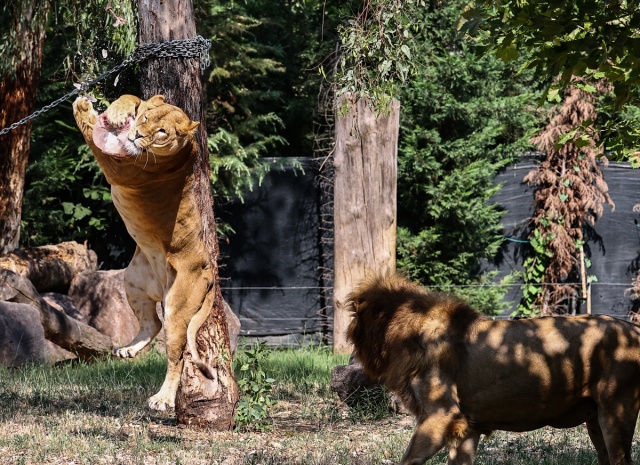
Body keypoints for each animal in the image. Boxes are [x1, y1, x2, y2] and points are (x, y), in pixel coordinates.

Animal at [73, 94, 215, 410]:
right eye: (147, 118)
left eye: (162, 132)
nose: (136, 135)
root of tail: (211, 270)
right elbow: (133, 97)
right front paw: (117, 110)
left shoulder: (122, 168)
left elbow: (93, 140)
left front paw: (83, 109)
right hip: (134, 281)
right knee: (152, 322)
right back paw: (127, 350)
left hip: (177, 308)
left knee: (177, 354)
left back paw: (163, 399)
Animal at [348, 272, 640, 464]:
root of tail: (635, 329)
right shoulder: (467, 427)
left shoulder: (440, 414)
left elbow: (408, 460)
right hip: (596, 420)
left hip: (616, 413)